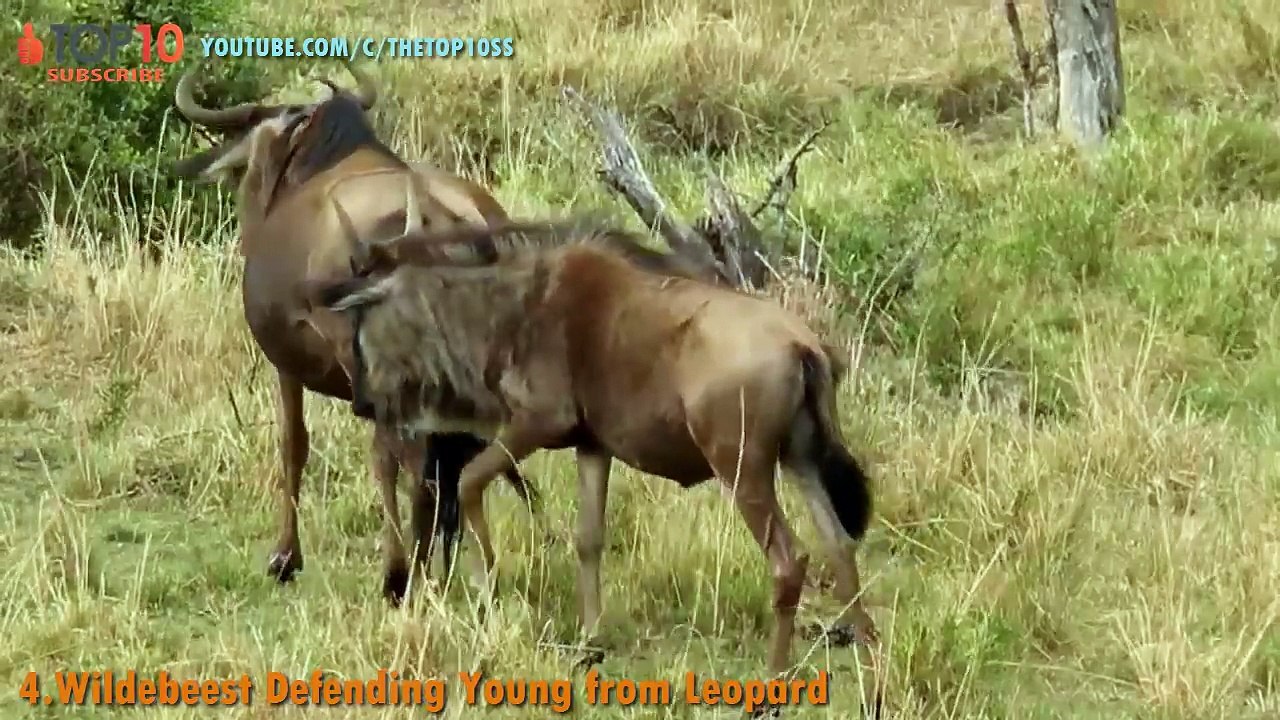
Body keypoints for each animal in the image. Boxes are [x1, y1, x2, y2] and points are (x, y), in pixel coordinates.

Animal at [169, 58, 537, 605]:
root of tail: (439, 220)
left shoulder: (287, 366)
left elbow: (293, 444)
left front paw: (285, 558)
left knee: (398, 455)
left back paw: (400, 573)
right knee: (459, 457)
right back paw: (462, 568)